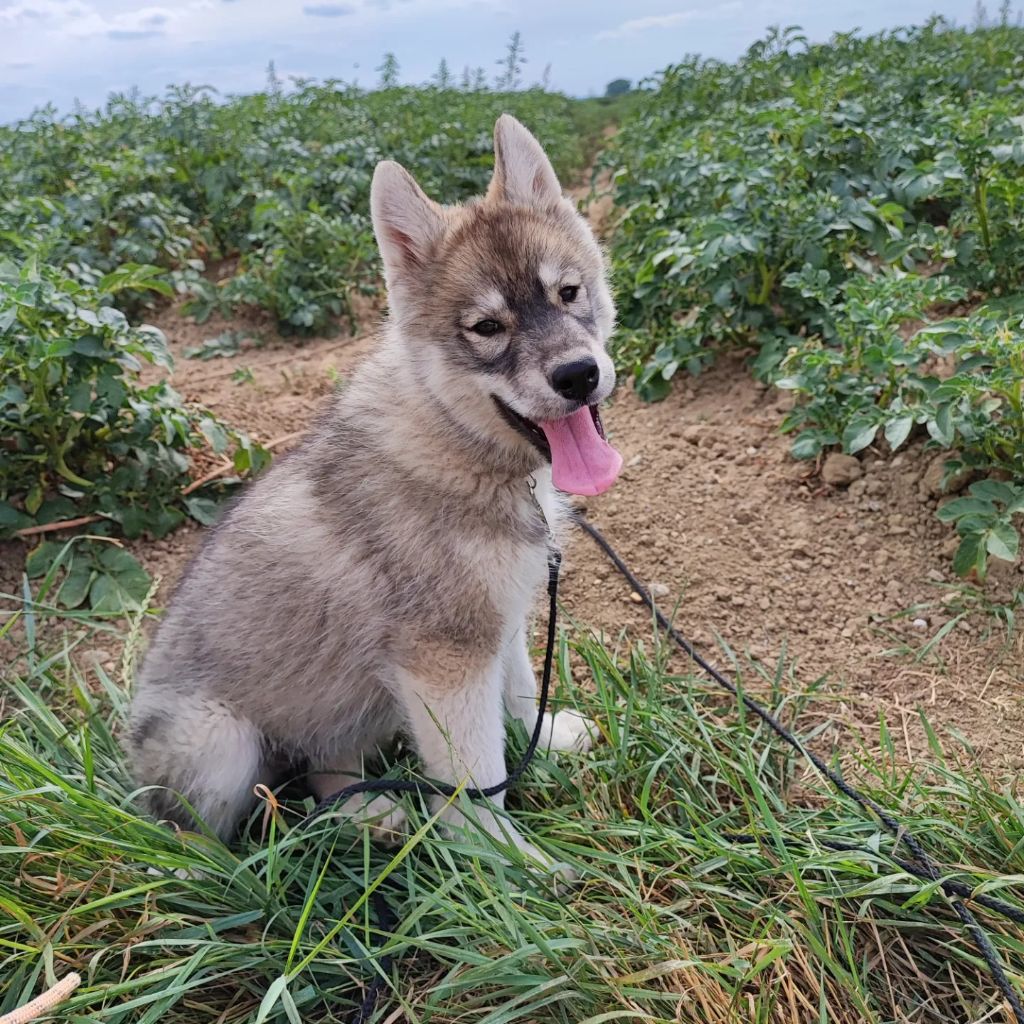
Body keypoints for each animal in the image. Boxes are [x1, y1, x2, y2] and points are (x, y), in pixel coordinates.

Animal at [128, 116, 622, 864]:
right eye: (486, 328)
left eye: (568, 293)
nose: (578, 376)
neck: (456, 440)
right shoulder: (446, 660)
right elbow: (477, 778)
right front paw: (507, 862)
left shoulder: (497, 624)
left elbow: (515, 696)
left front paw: (548, 741)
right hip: (221, 742)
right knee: (218, 829)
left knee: (324, 775)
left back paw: (373, 816)